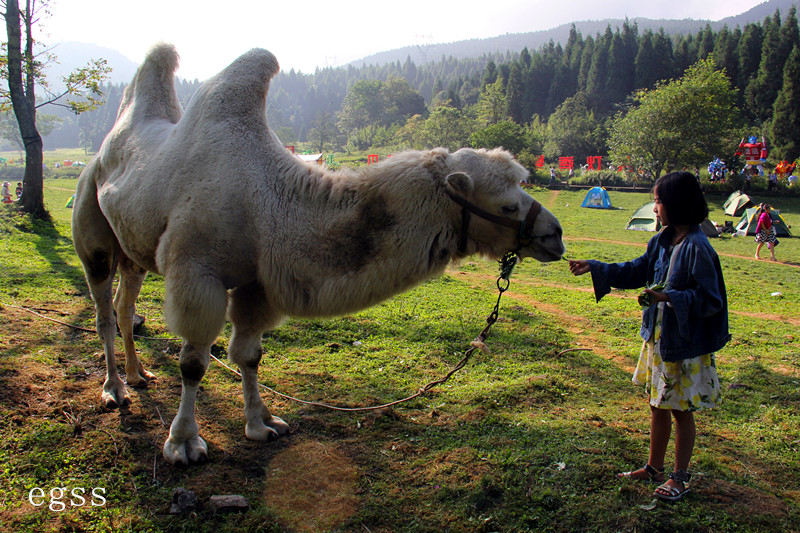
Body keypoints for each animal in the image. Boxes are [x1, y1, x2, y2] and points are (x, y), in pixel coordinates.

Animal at [72, 43, 564, 464]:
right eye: (506, 205)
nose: (554, 234)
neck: (271, 202)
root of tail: (102, 153)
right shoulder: (197, 272)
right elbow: (194, 362)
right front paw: (183, 443)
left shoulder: (258, 284)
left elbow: (248, 354)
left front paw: (262, 424)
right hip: (92, 230)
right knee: (102, 309)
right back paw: (115, 389)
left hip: (134, 250)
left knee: (124, 305)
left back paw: (138, 374)